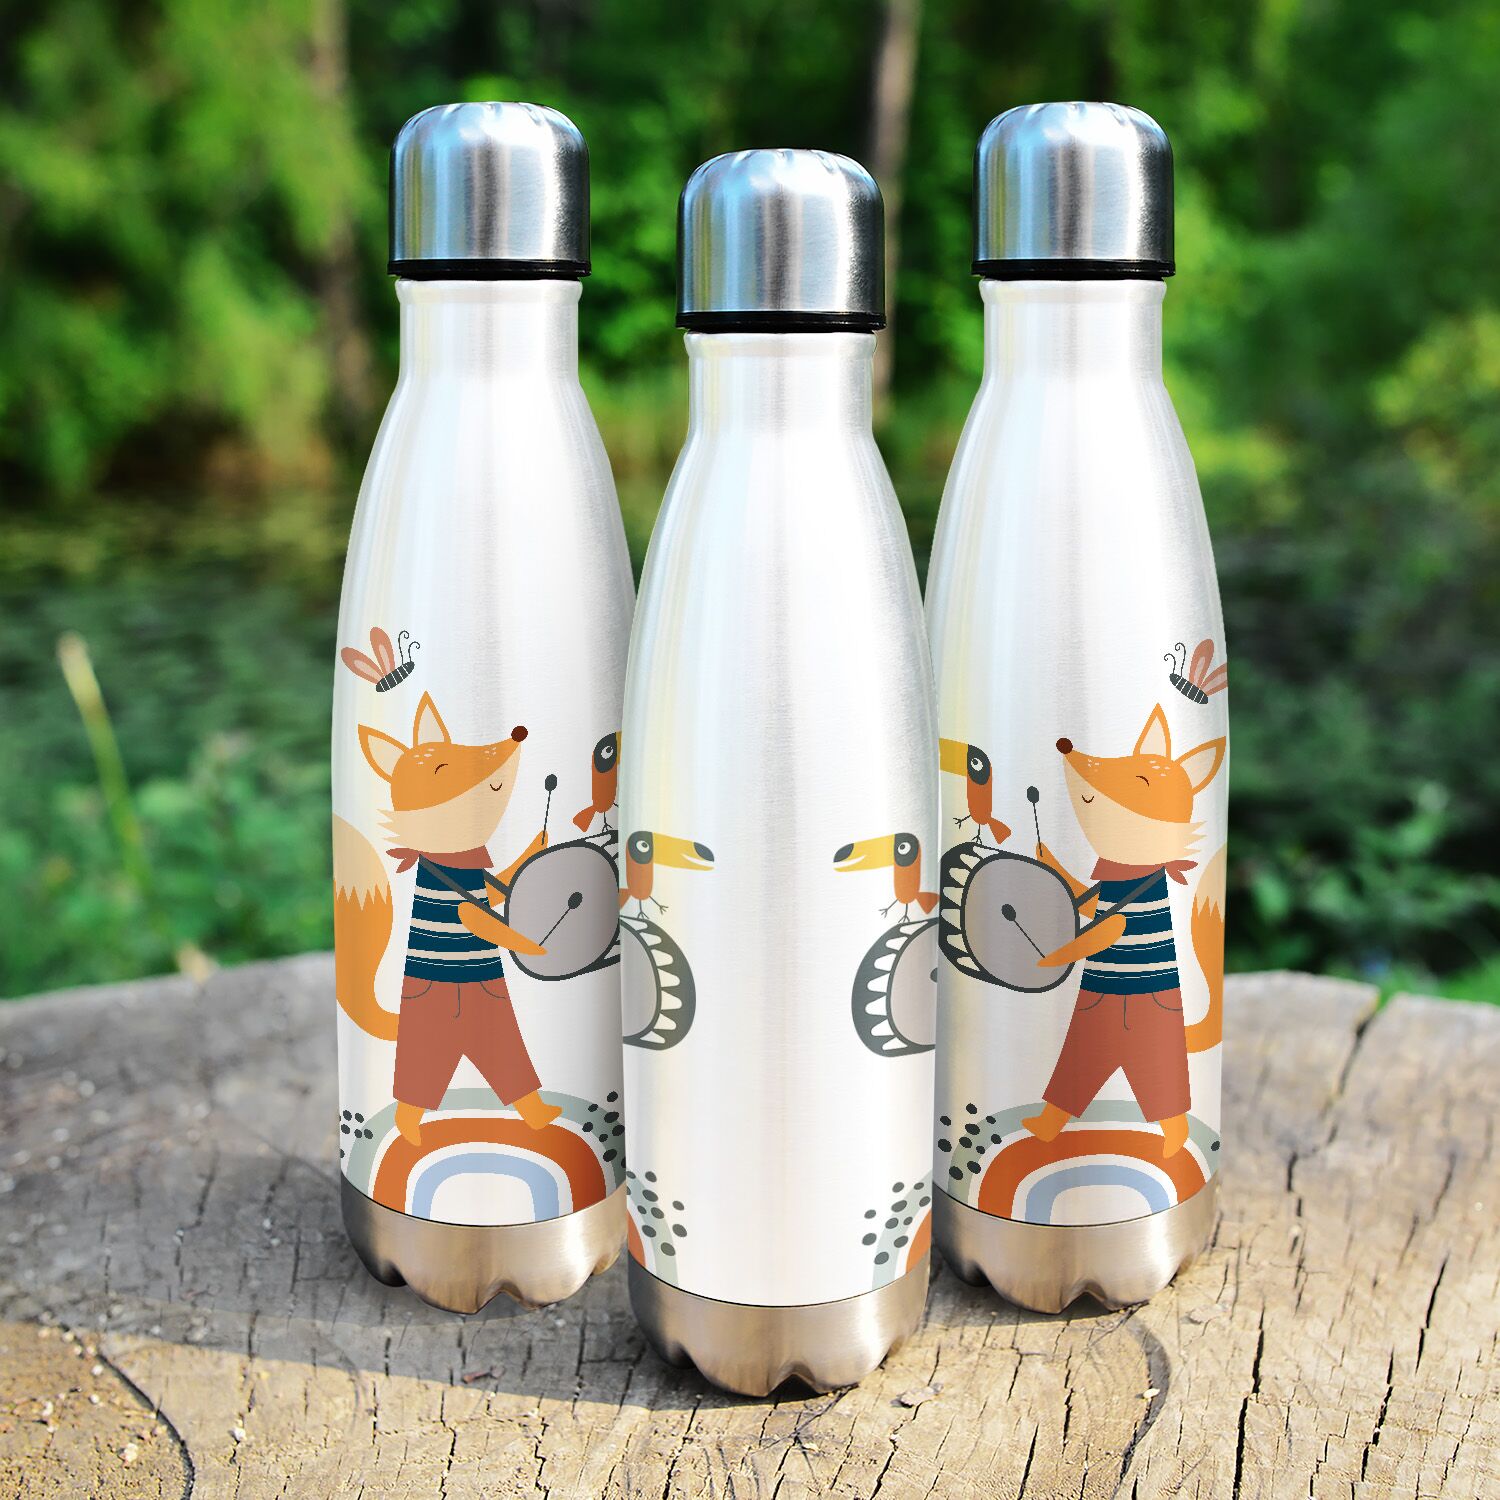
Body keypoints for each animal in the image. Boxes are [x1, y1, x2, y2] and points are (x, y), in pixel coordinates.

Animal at [333, 691, 559, 1149]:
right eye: (441, 769)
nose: (517, 734)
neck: (452, 853)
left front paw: (538, 842)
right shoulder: (452, 891)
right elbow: (474, 913)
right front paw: (533, 945)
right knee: (416, 1084)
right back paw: (409, 1131)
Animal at [1025, 703, 1227, 1158]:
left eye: (1141, 780)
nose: (1066, 746)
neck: (1131, 864)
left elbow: (1111, 926)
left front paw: (1050, 958)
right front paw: (1045, 854)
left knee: (1167, 1100)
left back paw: (1174, 1145)